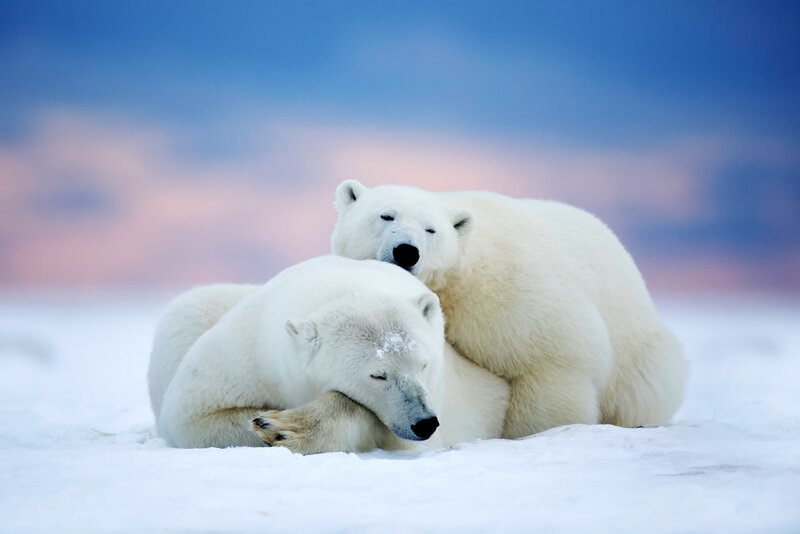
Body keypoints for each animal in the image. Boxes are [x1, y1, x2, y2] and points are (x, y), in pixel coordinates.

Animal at [148, 255, 509, 453]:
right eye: (378, 374)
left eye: (424, 364)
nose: (424, 422)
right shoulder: (249, 351)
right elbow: (193, 415)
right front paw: (269, 422)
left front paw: (284, 427)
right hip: (193, 313)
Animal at [331, 180, 688, 439]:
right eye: (386, 215)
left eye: (431, 229)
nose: (407, 251)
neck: (459, 279)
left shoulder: (511, 295)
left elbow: (551, 361)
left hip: (639, 353)